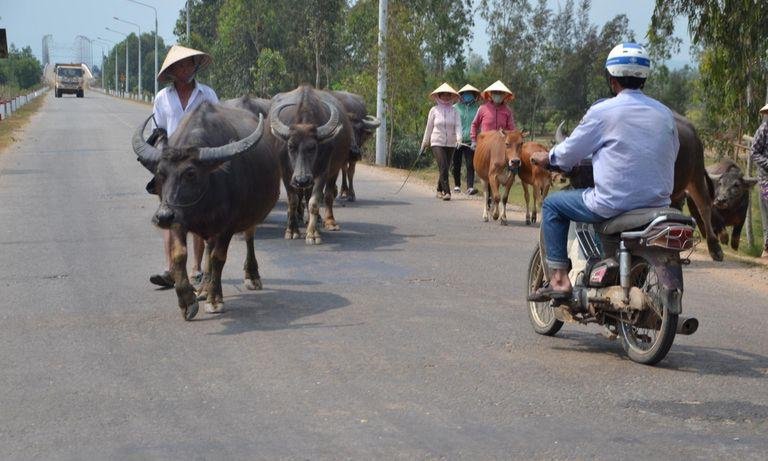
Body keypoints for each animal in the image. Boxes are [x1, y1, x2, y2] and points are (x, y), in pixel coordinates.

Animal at [133, 101, 282, 318]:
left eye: (190, 173)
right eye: (161, 173)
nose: (163, 216)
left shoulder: (227, 226)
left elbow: (218, 257)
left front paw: (215, 299)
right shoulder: (179, 220)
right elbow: (179, 254)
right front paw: (187, 300)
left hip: (250, 217)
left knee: (248, 237)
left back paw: (251, 276)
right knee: (208, 248)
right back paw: (203, 288)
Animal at [268, 86, 352, 244]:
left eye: (313, 148)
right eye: (291, 147)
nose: (302, 180)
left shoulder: (322, 172)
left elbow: (314, 202)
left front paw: (313, 233)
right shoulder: (286, 173)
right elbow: (293, 200)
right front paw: (292, 230)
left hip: (333, 170)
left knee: (327, 195)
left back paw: (328, 222)